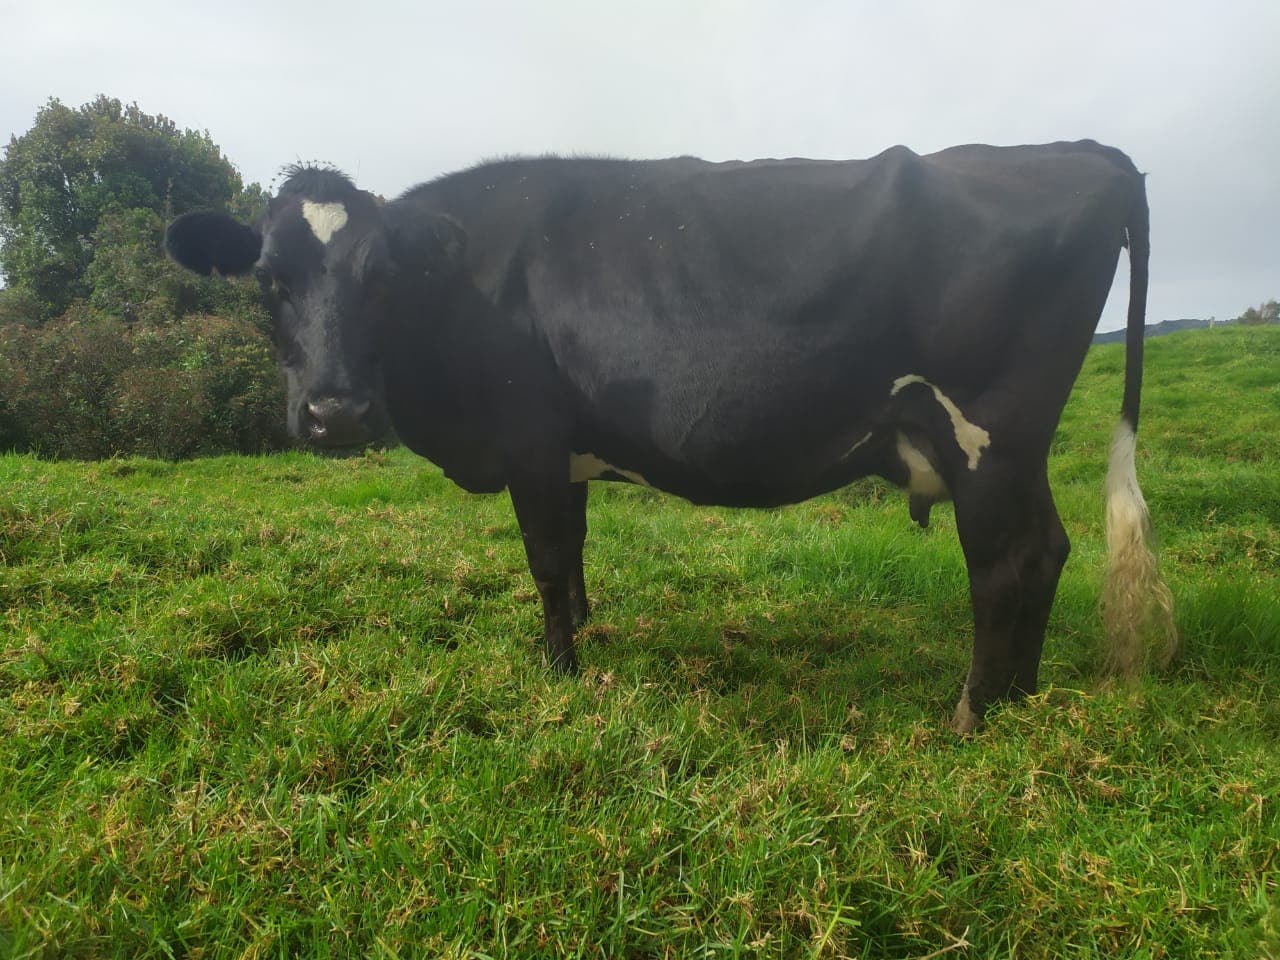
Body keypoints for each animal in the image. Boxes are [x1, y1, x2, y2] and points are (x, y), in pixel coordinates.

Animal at [165, 140, 1176, 732]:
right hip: (1013, 447)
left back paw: (970, 715)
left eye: (380, 280)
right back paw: (1020, 696)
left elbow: (543, 560)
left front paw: (560, 674)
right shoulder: (565, 451)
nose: (335, 413)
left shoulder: (529, 439)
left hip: (986, 433)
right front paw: (582, 632)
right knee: (1048, 551)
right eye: (268, 280)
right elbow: (573, 551)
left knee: (1005, 565)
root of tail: (1084, 152)